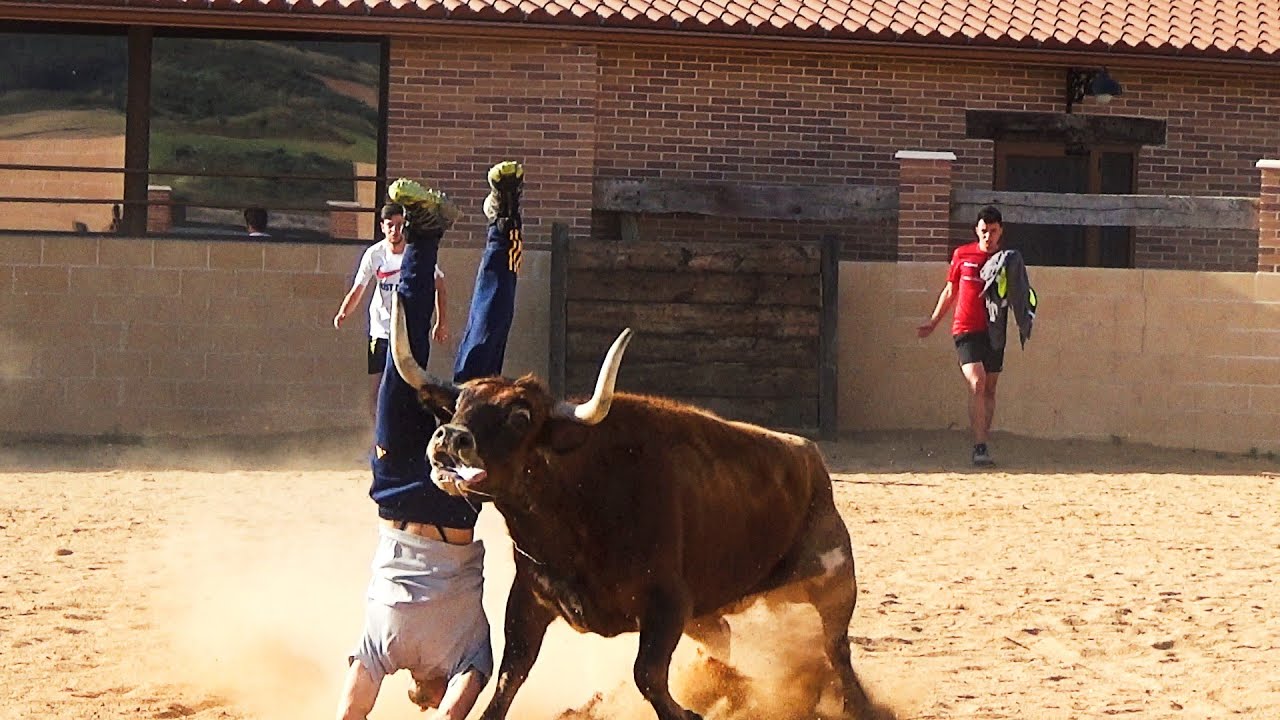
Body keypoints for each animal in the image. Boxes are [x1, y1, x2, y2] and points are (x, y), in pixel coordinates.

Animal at [389, 297, 892, 720]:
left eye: (520, 416)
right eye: (459, 403)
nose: (450, 438)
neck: (576, 514)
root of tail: (809, 456)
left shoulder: (667, 603)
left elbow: (647, 675)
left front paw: (688, 712)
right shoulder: (529, 598)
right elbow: (510, 675)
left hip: (834, 578)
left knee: (836, 649)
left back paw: (859, 707)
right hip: (710, 612)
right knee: (729, 642)